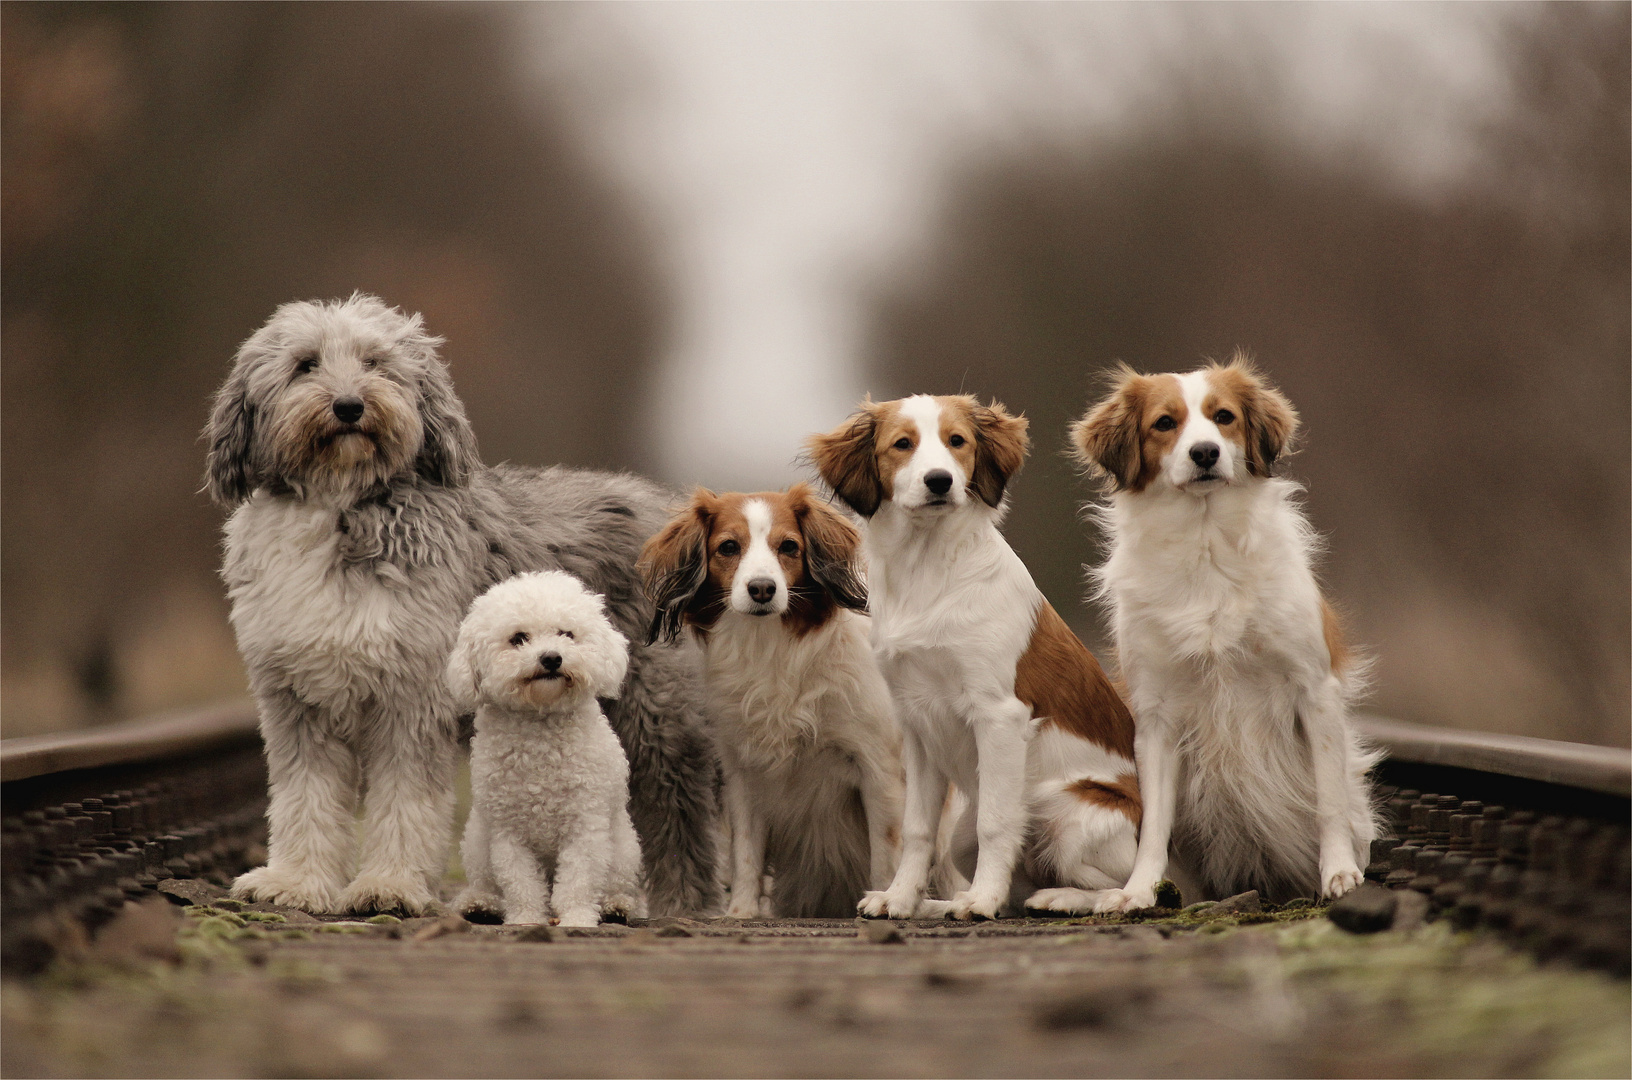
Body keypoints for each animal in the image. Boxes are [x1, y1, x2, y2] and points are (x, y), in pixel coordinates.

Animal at [453, 570, 649, 926]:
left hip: (625, 849)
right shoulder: (507, 832)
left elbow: (578, 878)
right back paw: (480, 903)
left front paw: (577, 918)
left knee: (617, 883)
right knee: (486, 882)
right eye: (518, 638)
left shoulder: (585, 823)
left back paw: (617, 904)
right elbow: (519, 882)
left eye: (566, 634)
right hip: (476, 841)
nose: (551, 658)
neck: (541, 723)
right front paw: (526, 919)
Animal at [639, 486, 907, 920]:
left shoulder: (880, 767)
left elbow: (886, 852)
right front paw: (741, 912)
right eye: (729, 547)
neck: (771, 647)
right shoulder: (743, 772)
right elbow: (746, 851)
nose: (762, 588)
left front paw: (882, 900)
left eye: (789, 547)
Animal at [809, 398, 1142, 920]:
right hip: (969, 838)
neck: (928, 569)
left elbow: (997, 822)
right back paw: (944, 902)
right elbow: (918, 830)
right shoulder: (915, 725)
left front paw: (981, 901)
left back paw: (1060, 898)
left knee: (1126, 885)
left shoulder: (999, 715)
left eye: (957, 441)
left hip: (1066, 813)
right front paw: (901, 898)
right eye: (902, 444)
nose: (939, 481)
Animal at [1070, 357, 1377, 913]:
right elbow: (1155, 825)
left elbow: (1328, 801)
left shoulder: (1314, 690)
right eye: (1164, 423)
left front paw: (1340, 873)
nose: (1205, 452)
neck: (1205, 539)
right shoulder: (1157, 716)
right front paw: (1139, 890)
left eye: (1224, 417)